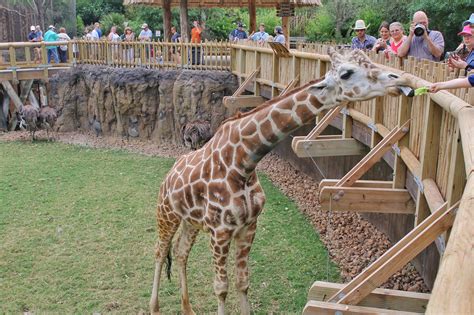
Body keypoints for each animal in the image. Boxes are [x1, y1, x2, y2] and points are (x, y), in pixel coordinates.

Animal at [151, 47, 408, 315]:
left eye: (368, 61)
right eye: (347, 73)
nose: (400, 80)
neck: (243, 162)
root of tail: (169, 176)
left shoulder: (248, 226)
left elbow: (243, 282)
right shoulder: (220, 231)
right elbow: (221, 288)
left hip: (190, 221)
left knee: (180, 252)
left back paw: (187, 308)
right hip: (166, 213)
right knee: (159, 250)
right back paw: (154, 307)